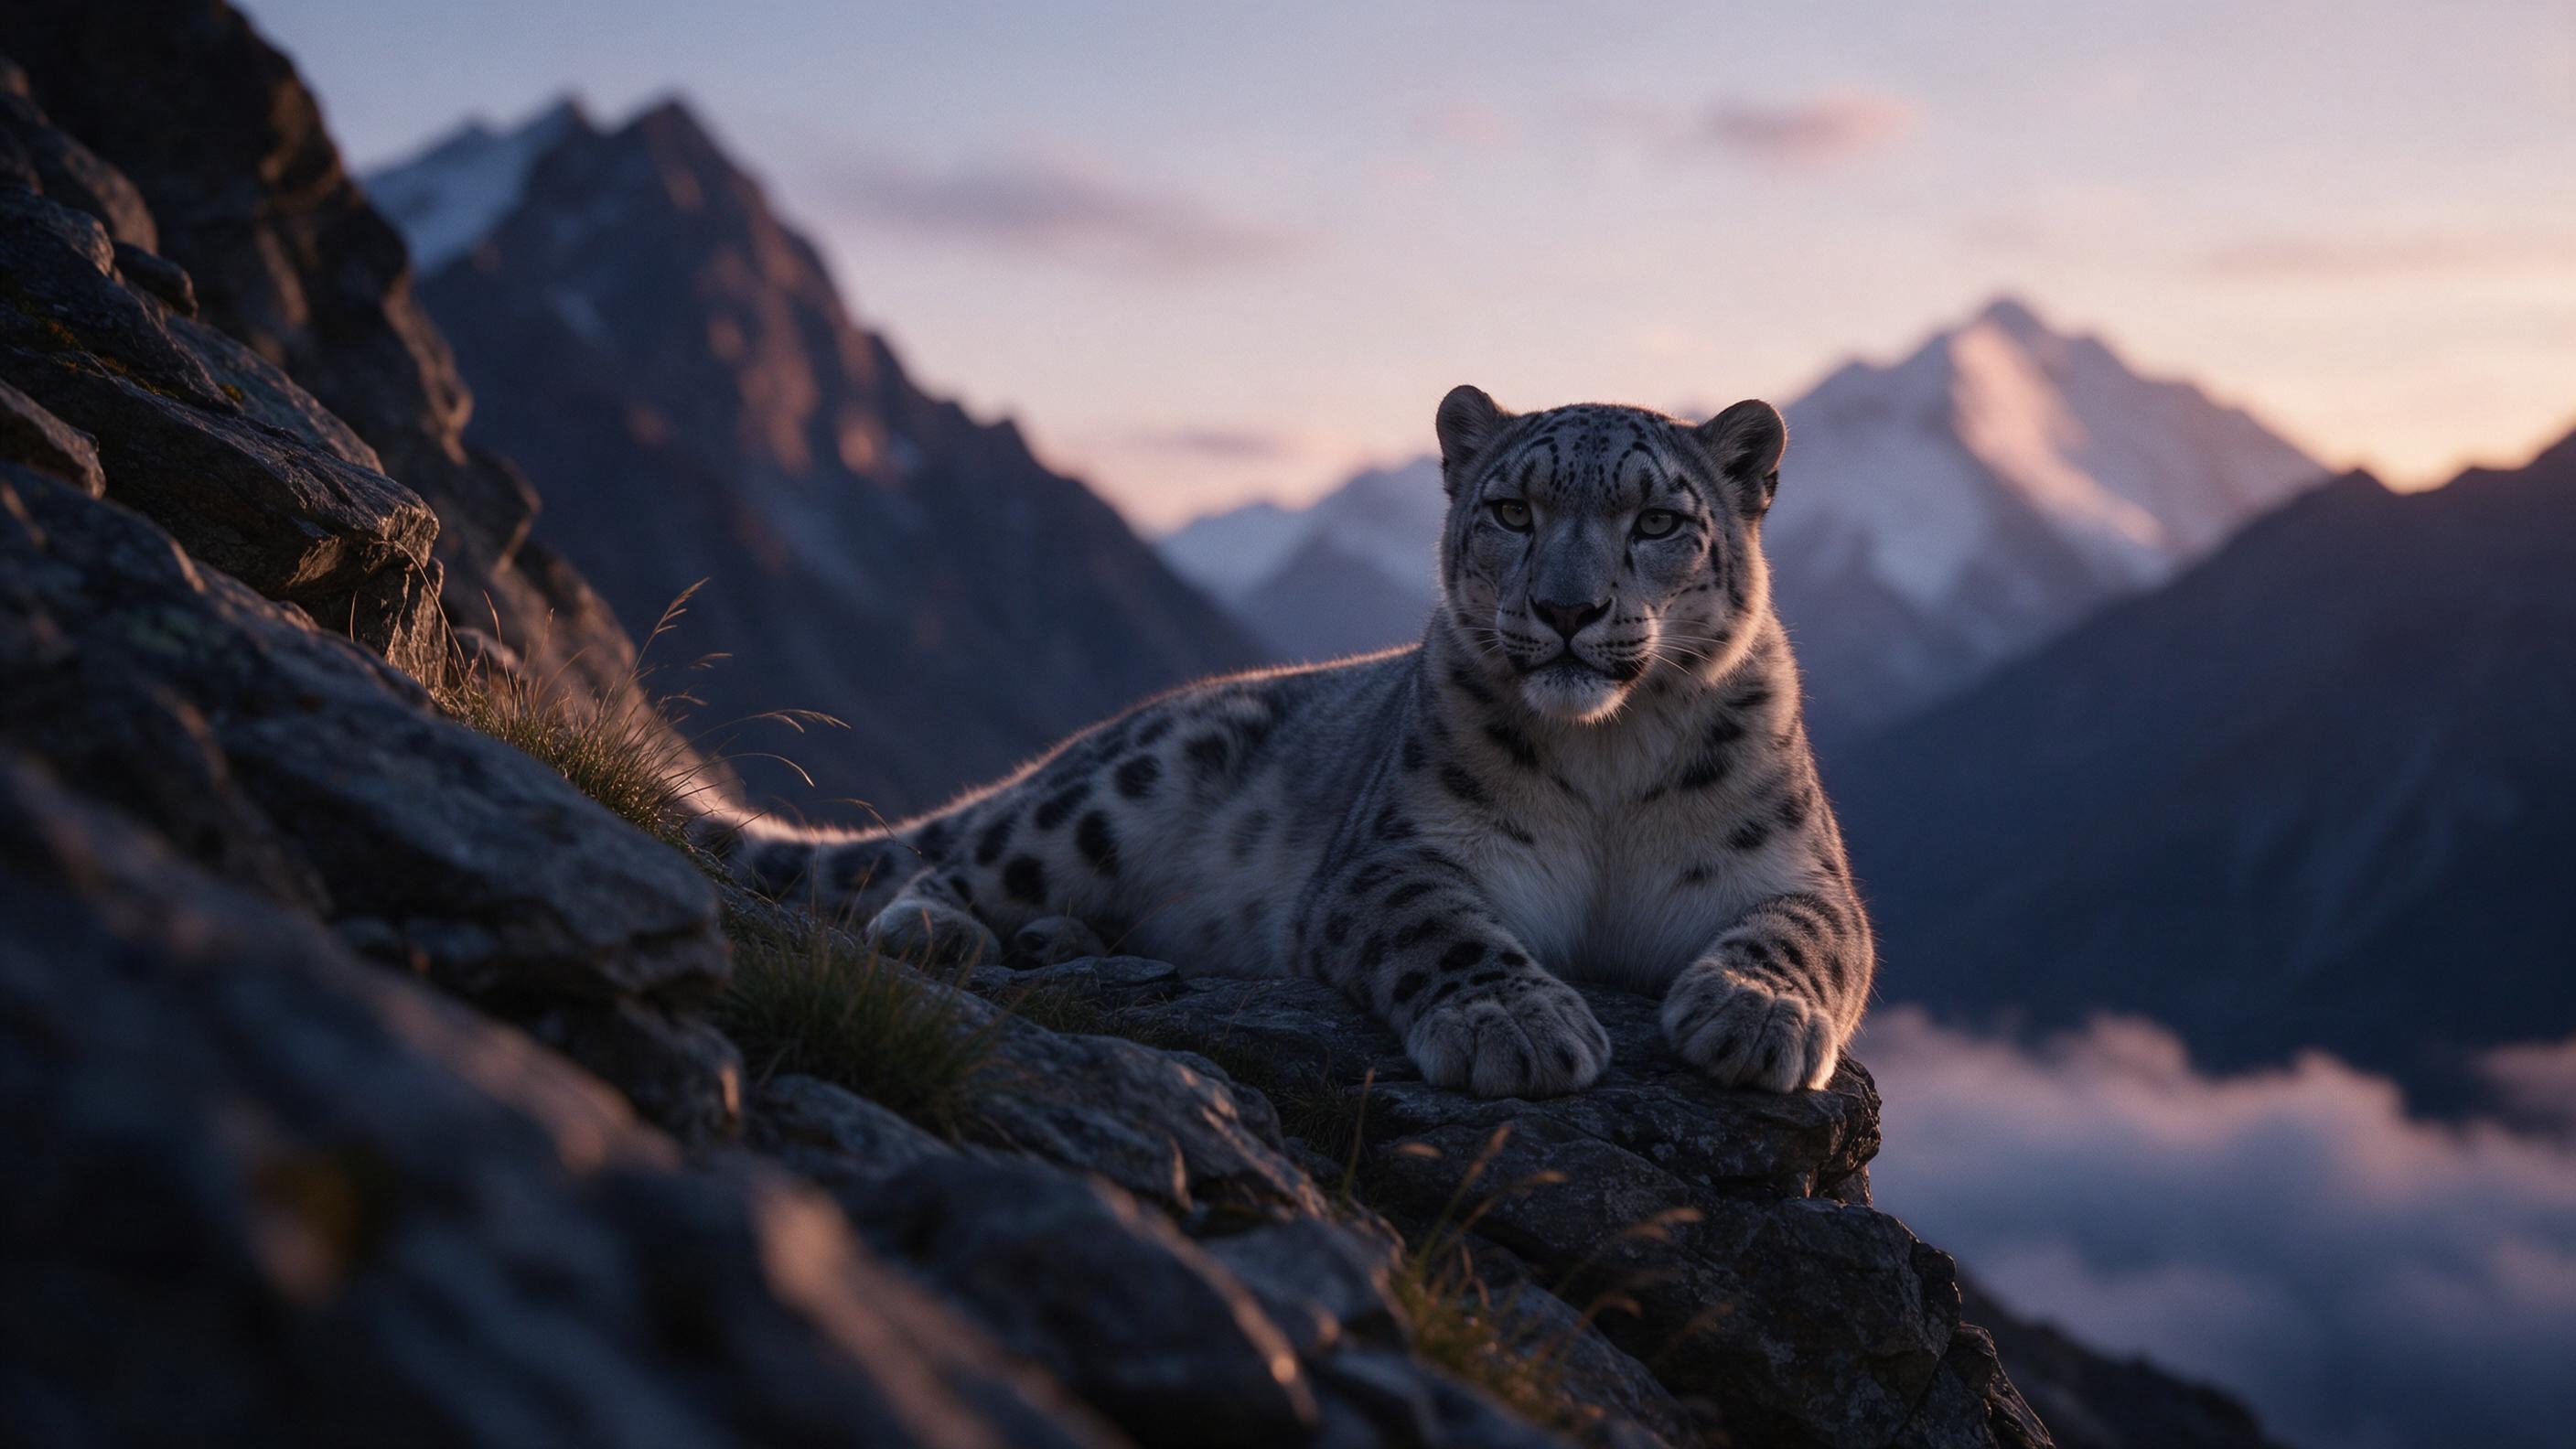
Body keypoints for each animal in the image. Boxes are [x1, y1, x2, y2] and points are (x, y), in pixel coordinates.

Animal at [698, 386, 1875, 1098]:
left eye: (1657, 522)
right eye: (1511, 508)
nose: (1566, 609)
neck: (1608, 761)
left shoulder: (1796, 866)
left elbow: (1806, 933)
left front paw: (1752, 1013)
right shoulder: (1392, 858)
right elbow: (1442, 928)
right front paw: (1517, 1028)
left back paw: (1057, 942)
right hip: (1108, 795)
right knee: (959, 858)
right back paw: (946, 932)